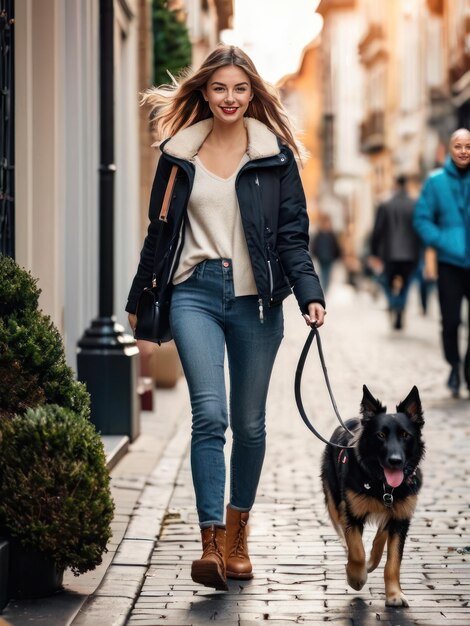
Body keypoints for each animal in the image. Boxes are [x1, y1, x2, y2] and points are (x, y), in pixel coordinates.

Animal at [320, 386, 426, 604]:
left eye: (405, 435)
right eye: (380, 435)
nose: (395, 461)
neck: (383, 486)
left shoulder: (401, 518)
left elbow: (392, 563)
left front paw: (394, 595)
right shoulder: (352, 514)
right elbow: (356, 551)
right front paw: (356, 578)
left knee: (380, 535)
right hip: (334, 502)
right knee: (345, 535)